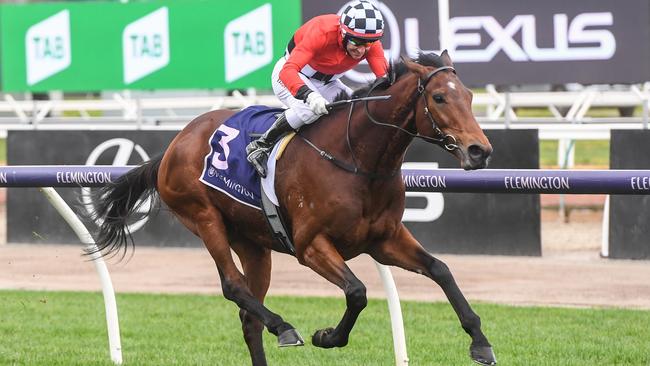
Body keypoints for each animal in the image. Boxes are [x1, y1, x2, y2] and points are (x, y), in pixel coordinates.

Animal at [91, 51, 494, 366]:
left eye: (468, 96)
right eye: (439, 97)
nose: (480, 150)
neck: (356, 160)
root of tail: (175, 144)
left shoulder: (385, 240)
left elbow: (440, 270)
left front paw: (481, 343)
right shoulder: (310, 245)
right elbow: (357, 292)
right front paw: (326, 336)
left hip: (252, 242)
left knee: (248, 314)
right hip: (204, 217)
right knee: (233, 285)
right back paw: (284, 327)